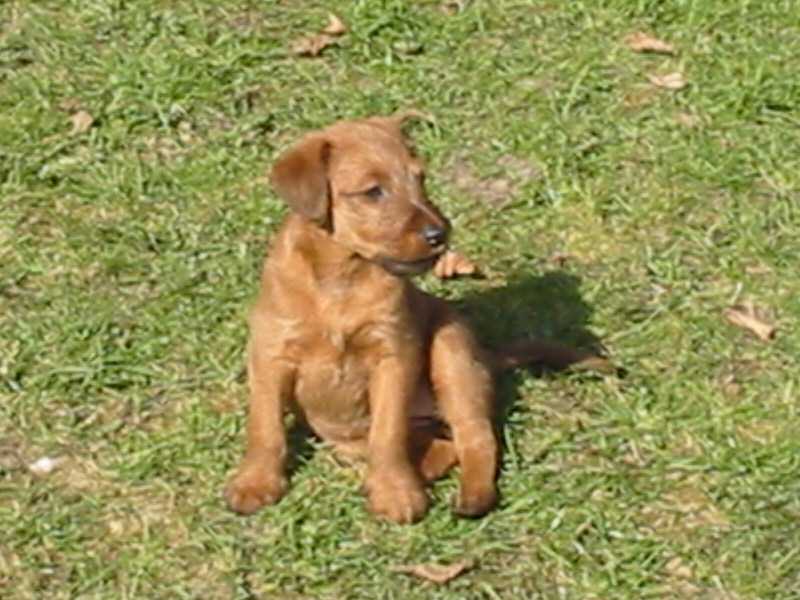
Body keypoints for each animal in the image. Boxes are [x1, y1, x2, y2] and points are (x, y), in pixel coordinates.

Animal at [224, 114, 606, 523]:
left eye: (420, 179)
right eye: (373, 191)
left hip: (451, 352)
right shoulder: (271, 354)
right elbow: (265, 428)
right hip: (359, 433)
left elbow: (387, 434)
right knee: (439, 447)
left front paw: (396, 493)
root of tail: (488, 356)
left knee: (475, 439)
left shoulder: (392, 355)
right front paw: (255, 483)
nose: (440, 233)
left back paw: (469, 497)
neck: (342, 277)